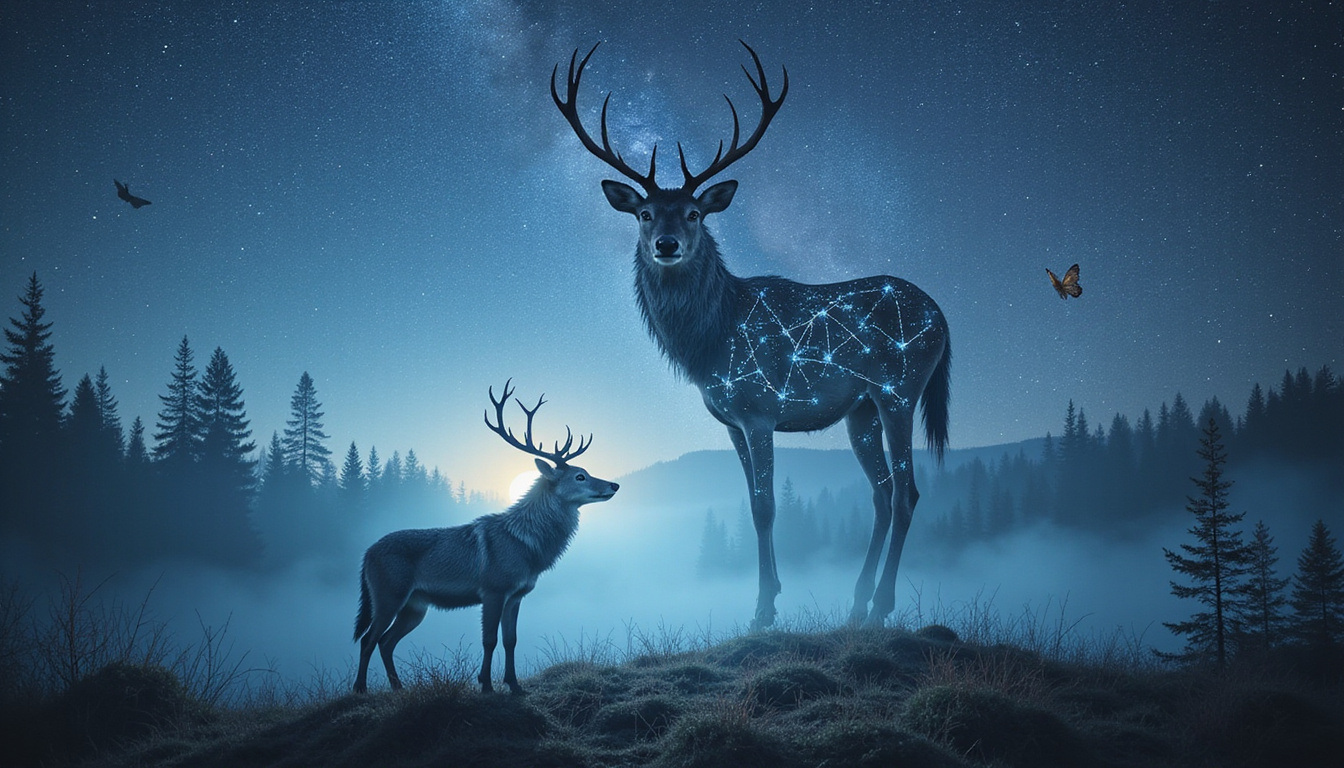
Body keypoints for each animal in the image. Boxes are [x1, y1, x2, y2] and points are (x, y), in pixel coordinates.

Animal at [353, 381, 618, 694]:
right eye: (580, 476)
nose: (614, 484)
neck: (529, 550)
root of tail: (366, 555)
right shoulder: (492, 589)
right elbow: (489, 640)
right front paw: (487, 685)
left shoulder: (516, 595)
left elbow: (511, 640)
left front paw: (514, 685)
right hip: (388, 594)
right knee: (368, 638)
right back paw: (360, 688)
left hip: (415, 606)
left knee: (386, 641)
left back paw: (398, 687)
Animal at [553, 42, 950, 629]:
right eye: (644, 213)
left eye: (694, 212)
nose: (667, 244)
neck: (710, 344)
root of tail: (943, 316)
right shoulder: (731, 421)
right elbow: (750, 503)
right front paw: (771, 595)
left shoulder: (762, 409)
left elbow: (766, 506)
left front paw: (763, 608)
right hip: (860, 409)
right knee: (880, 493)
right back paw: (856, 605)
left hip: (901, 387)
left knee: (907, 492)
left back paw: (880, 606)